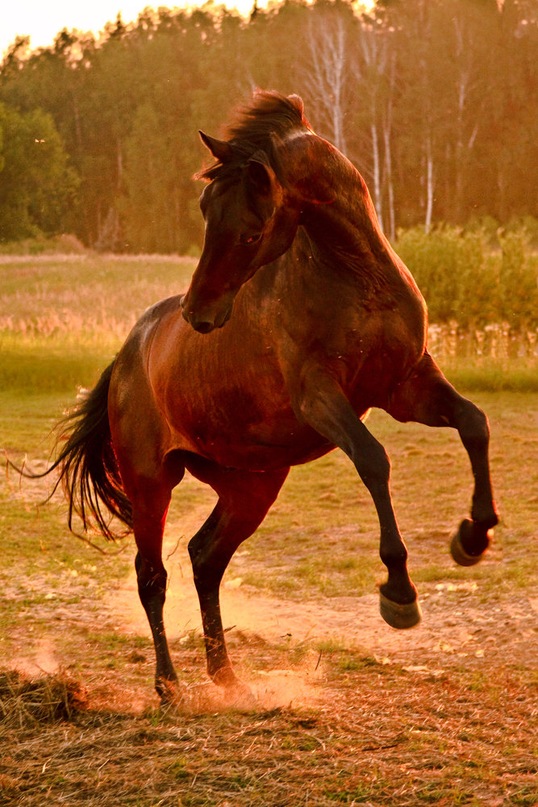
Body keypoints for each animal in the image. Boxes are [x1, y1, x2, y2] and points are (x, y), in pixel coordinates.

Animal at [48, 93, 496, 700]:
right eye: (205, 210)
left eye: (249, 231)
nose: (198, 312)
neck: (358, 280)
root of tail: (126, 356)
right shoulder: (320, 399)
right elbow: (374, 459)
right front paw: (399, 594)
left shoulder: (408, 388)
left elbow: (473, 423)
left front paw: (472, 538)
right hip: (150, 481)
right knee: (151, 576)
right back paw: (169, 686)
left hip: (250, 485)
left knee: (204, 559)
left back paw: (226, 676)